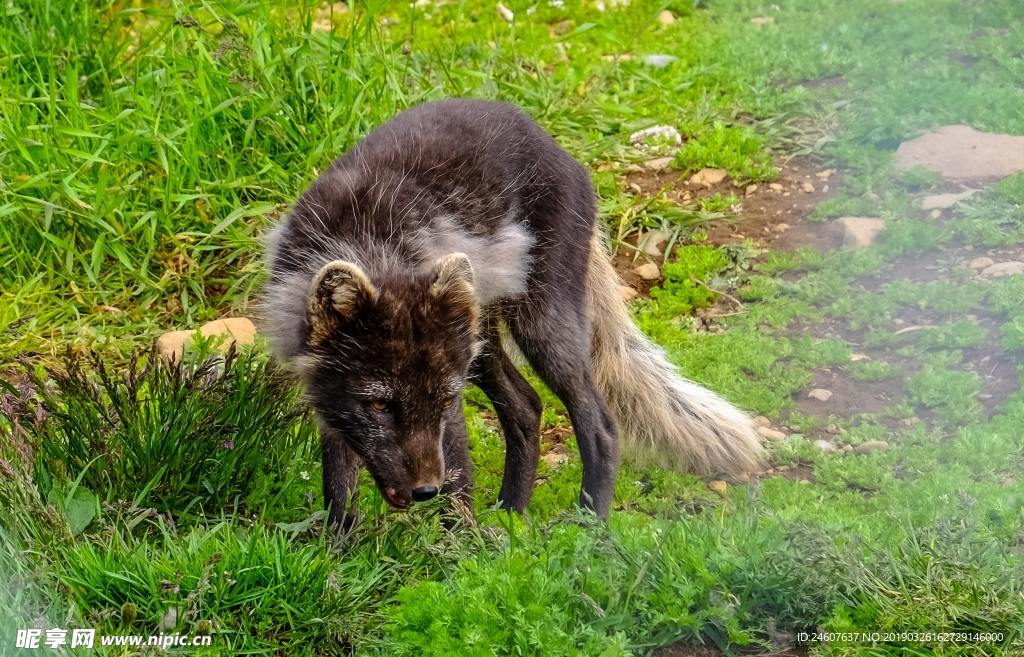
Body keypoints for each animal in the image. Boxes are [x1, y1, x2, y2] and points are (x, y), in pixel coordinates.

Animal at [260, 98, 765, 528]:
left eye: (443, 400)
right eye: (381, 405)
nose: (424, 491)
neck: (374, 246)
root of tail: (555, 145)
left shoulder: (451, 407)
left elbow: (459, 481)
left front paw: (458, 556)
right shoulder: (331, 396)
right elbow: (338, 487)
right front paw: (337, 557)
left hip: (540, 325)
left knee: (599, 422)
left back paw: (588, 526)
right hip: (480, 342)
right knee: (527, 406)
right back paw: (510, 516)